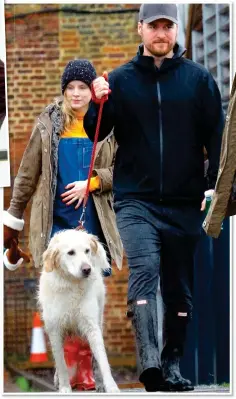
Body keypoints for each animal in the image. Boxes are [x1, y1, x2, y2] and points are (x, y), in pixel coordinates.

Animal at [38, 228, 120, 394]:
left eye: (87, 251)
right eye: (71, 252)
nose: (87, 269)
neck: (71, 284)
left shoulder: (92, 326)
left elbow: (102, 360)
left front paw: (111, 386)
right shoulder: (55, 330)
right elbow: (61, 363)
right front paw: (64, 387)